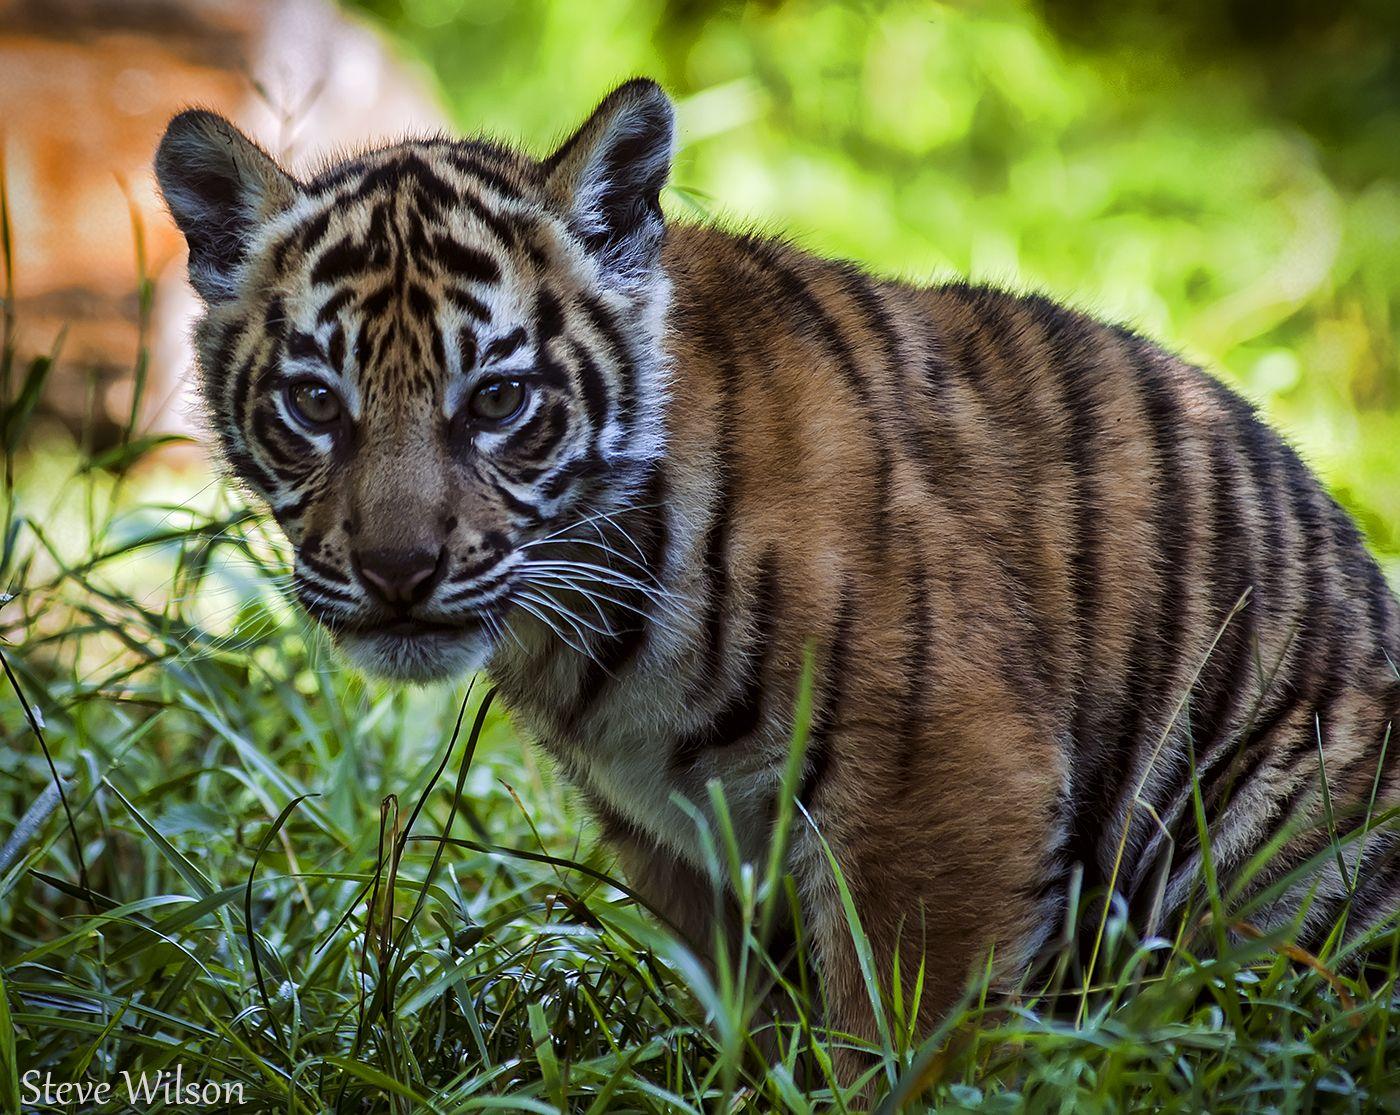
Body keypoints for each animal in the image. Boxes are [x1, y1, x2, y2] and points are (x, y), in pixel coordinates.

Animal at [154, 78, 1400, 1070]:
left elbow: (900, 1032)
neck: (588, 627)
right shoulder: (673, 839)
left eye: (498, 399)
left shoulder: (943, 775)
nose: (397, 570)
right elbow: (752, 1019)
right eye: (315, 402)